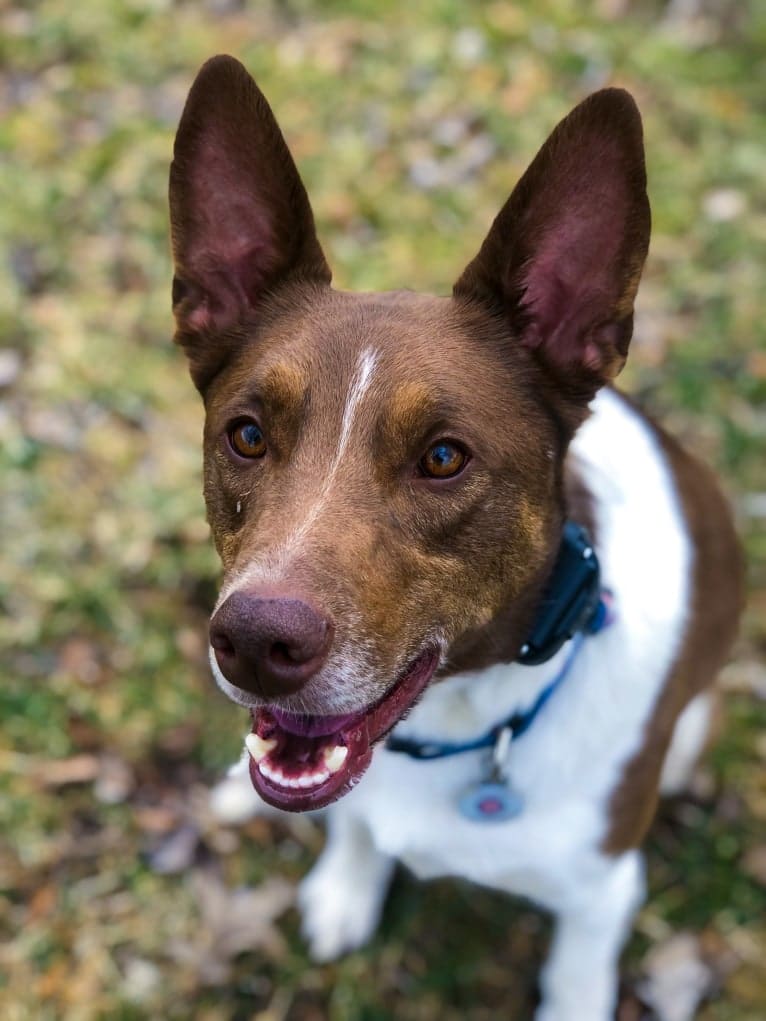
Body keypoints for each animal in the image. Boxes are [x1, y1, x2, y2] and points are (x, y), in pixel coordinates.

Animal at [167, 55, 743, 1021]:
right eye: (246, 434)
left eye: (443, 457)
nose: (251, 641)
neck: (466, 719)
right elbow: (356, 823)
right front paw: (347, 883)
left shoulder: (602, 891)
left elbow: (576, 971)